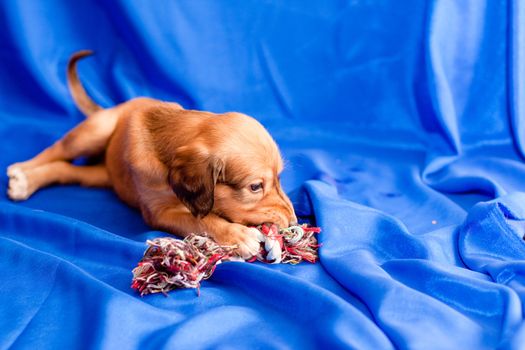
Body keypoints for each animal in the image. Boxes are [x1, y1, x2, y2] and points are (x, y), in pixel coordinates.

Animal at [7, 50, 294, 258]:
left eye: (279, 178)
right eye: (255, 187)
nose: (293, 221)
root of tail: (116, 107)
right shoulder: (159, 213)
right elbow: (202, 220)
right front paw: (238, 236)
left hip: (104, 176)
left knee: (69, 170)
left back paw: (27, 181)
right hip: (95, 131)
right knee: (57, 148)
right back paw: (21, 172)